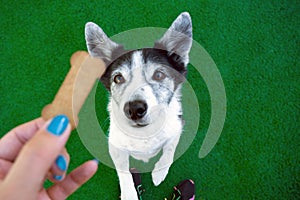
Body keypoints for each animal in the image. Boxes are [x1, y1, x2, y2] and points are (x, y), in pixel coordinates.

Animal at [84, 11, 192, 199]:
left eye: (158, 75)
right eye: (118, 78)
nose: (134, 109)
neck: (145, 133)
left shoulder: (177, 126)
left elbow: (169, 149)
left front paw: (159, 172)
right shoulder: (115, 145)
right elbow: (123, 171)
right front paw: (129, 193)